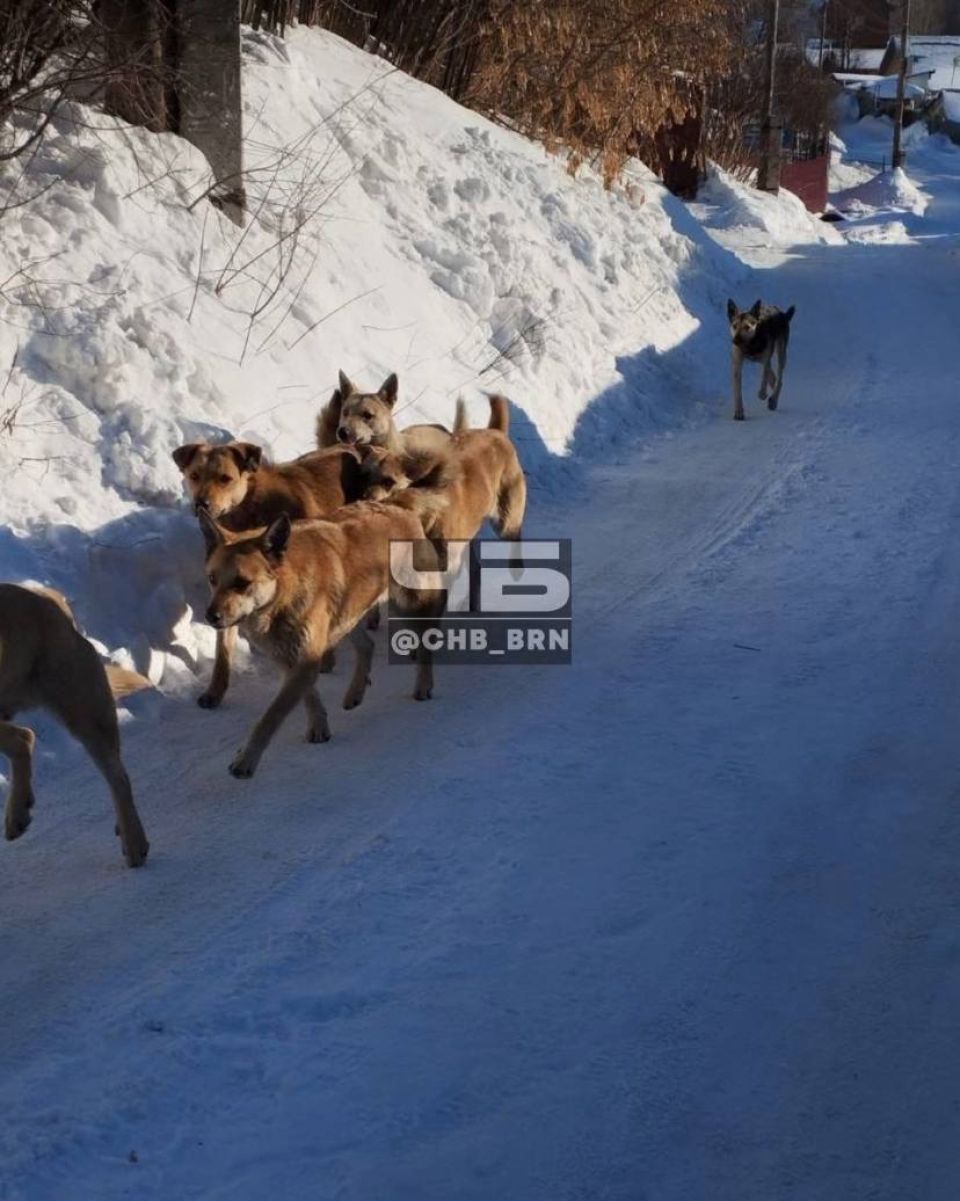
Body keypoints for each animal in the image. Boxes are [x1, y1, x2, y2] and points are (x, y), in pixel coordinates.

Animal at [170, 439, 365, 701]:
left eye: (225, 478)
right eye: (194, 476)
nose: (201, 504)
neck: (248, 510)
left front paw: (325, 658)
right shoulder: (227, 591)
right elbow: (223, 649)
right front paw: (215, 691)